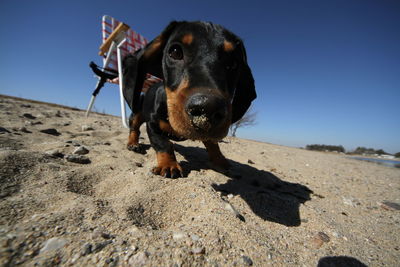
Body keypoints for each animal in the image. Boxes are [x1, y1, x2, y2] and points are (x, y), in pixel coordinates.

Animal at [122, 21, 256, 179]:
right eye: (175, 52)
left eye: (234, 63)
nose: (207, 108)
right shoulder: (153, 124)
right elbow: (164, 144)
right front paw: (169, 165)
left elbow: (213, 144)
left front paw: (220, 160)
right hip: (138, 110)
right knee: (134, 128)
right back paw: (133, 143)